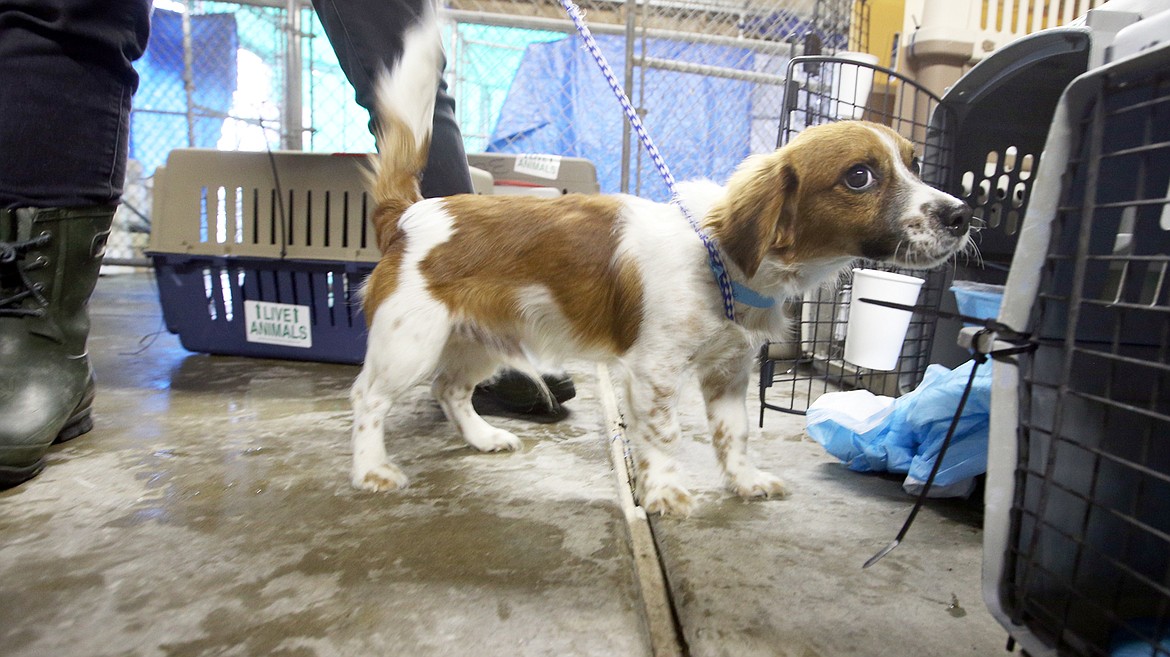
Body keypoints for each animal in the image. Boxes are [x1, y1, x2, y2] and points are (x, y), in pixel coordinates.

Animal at [351, 8, 973, 512]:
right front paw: (667, 492)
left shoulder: (729, 374)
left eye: (916, 163)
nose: (963, 215)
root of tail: (410, 213)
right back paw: (371, 470)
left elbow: (735, 435)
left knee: (450, 390)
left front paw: (743, 482)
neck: (720, 263)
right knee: (368, 397)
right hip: (410, 343)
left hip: (481, 340)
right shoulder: (653, 372)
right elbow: (664, 436)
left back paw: (481, 438)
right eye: (860, 177)